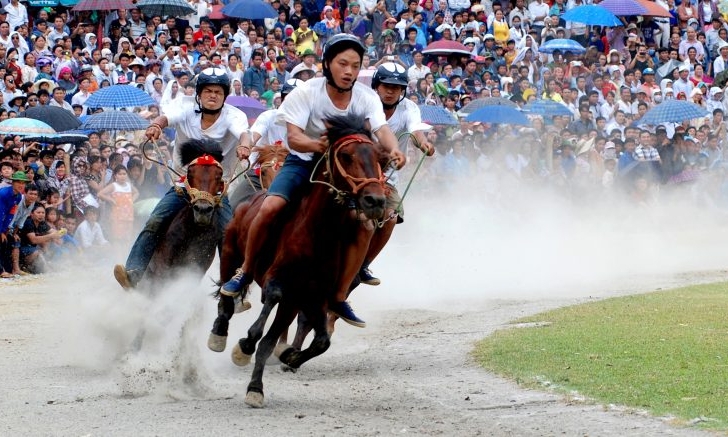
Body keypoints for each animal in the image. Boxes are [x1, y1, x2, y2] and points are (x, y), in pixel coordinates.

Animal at [208, 114, 390, 408]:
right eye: (346, 155)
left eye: (378, 156)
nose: (375, 199)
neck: (318, 232)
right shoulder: (279, 280)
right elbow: (269, 305)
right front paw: (246, 345)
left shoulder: (309, 297)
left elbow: (317, 341)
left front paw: (277, 367)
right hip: (229, 253)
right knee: (226, 298)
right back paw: (219, 333)